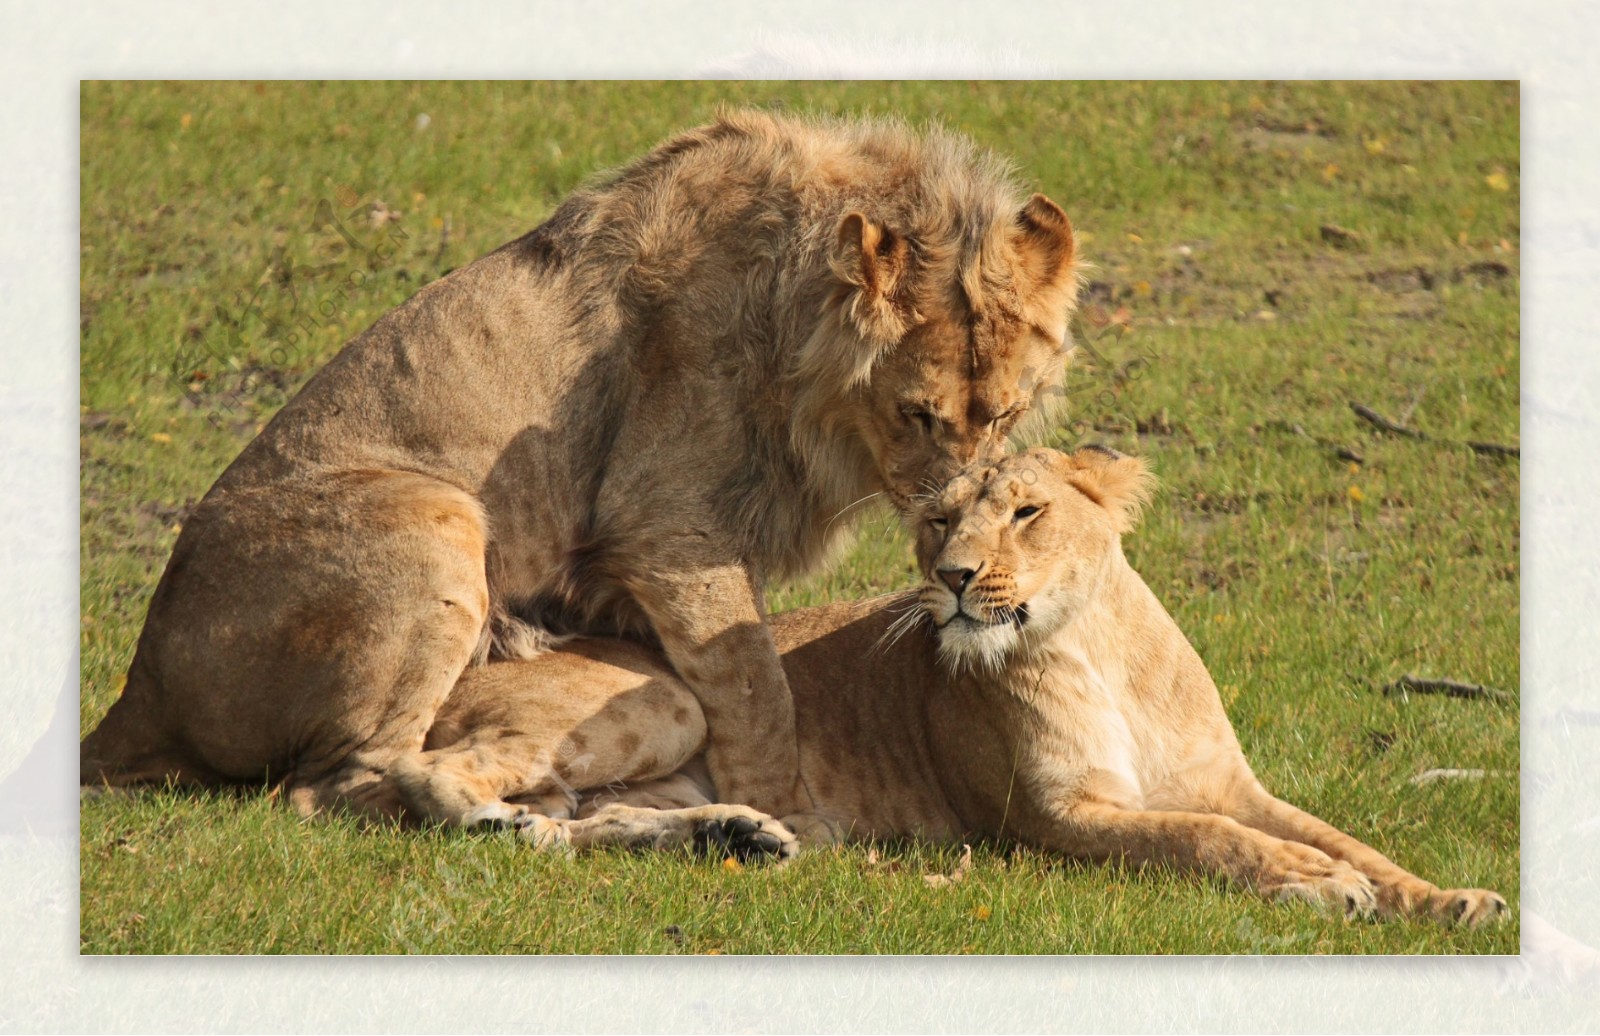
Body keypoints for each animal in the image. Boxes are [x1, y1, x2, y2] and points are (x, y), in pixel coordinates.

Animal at [81, 113, 1081, 824]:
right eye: (918, 414)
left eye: (1007, 415)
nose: (956, 536)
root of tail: (137, 689)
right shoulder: (669, 530)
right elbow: (759, 690)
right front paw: (790, 819)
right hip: (438, 513)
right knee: (331, 786)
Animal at [393, 447, 1504, 927]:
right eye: (937, 521)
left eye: (1025, 511)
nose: (956, 577)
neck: (1096, 645)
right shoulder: (1055, 816)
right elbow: (1202, 840)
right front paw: (1318, 885)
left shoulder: (1232, 784)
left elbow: (1349, 839)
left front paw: (1453, 900)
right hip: (662, 700)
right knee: (417, 777)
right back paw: (492, 824)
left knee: (588, 818)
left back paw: (737, 837)